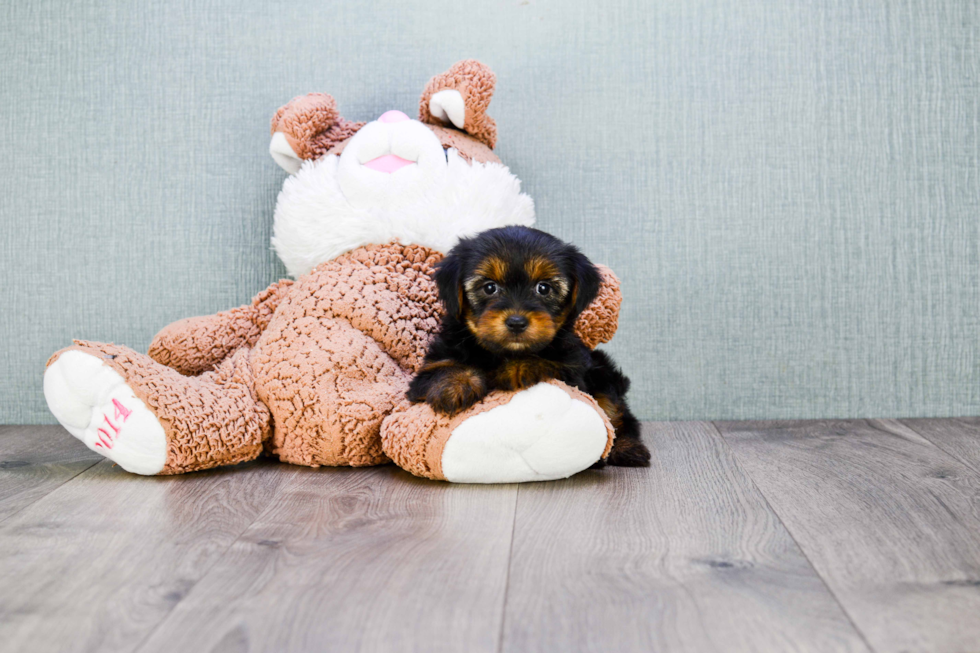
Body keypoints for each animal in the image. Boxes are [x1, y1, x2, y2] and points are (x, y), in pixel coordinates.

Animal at [406, 227, 652, 466]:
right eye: (489, 287)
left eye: (543, 288)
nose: (516, 322)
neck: (501, 352)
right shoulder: (432, 366)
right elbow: (440, 369)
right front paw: (455, 386)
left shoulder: (574, 370)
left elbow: (550, 364)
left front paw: (517, 368)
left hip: (604, 373)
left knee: (616, 412)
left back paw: (628, 449)